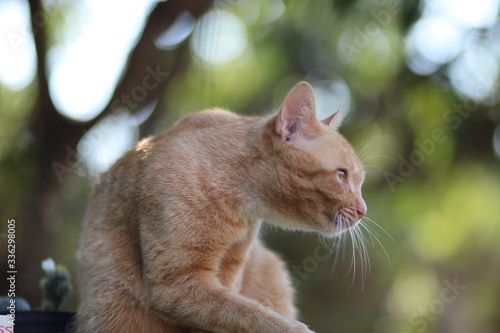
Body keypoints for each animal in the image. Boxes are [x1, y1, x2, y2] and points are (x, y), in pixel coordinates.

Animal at [76, 81, 366, 332]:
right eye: (342, 176)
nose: (363, 210)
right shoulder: (177, 283)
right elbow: (252, 315)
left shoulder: (228, 275)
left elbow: (236, 312)